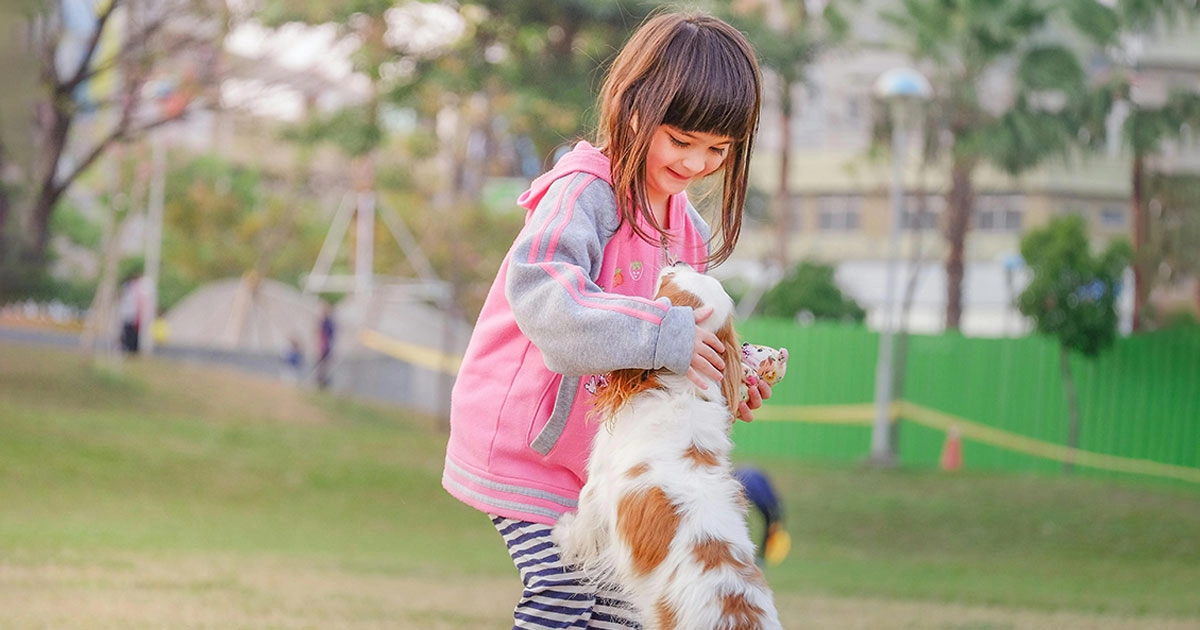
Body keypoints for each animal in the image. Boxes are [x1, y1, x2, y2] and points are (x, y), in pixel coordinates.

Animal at [554, 262, 787, 628]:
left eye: (669, 281)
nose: (677, 262)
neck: (682, 390)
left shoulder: (596, 487)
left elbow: (582, 526)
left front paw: (562, 532)